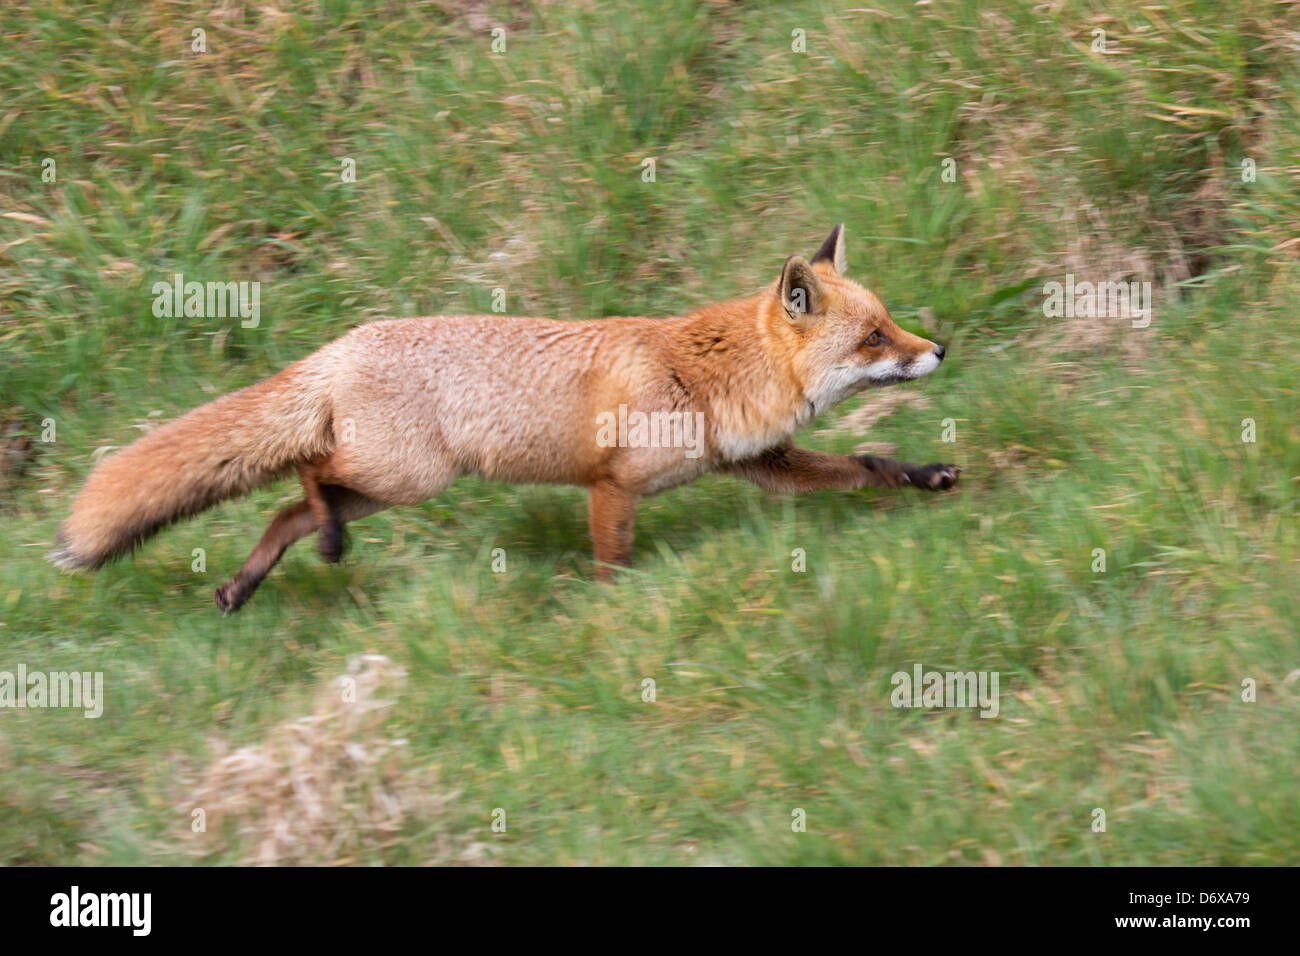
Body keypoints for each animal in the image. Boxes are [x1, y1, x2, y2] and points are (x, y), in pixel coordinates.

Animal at [53, 227, 956, 608]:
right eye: (876, 337)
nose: (940, 348)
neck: (703, 374)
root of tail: (340, 345)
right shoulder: (610, 486)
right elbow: (612, 565)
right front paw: (613, 618)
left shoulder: (759, 462)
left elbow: (867, 464)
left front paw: (925, 473)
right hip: (408, 478)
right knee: (309, 473)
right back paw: (325, 549)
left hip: (387, 487)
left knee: (284, 511)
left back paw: (246, 585)